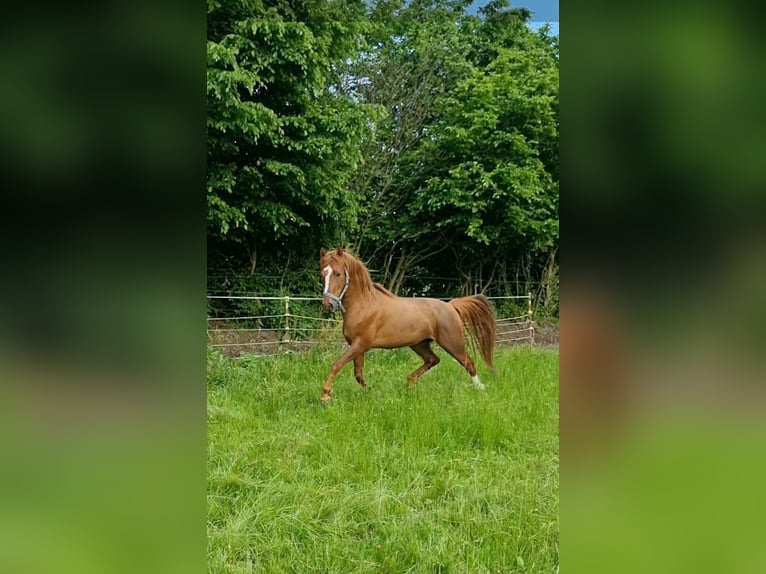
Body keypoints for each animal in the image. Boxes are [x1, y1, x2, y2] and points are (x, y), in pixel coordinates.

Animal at [318, 247, 497, 402]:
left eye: (338, 273)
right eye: (322, 274)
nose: (328, 304)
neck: (364, 305)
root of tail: (451, 306)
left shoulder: (361, 344)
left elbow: (337, 365)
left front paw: (325, 396)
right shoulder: (356, 345)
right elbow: (358, 374)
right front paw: (374, 392)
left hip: (453, 343)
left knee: (468, 363)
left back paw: (481, 389)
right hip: (419, 344)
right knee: (433, 360)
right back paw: (410, 383)